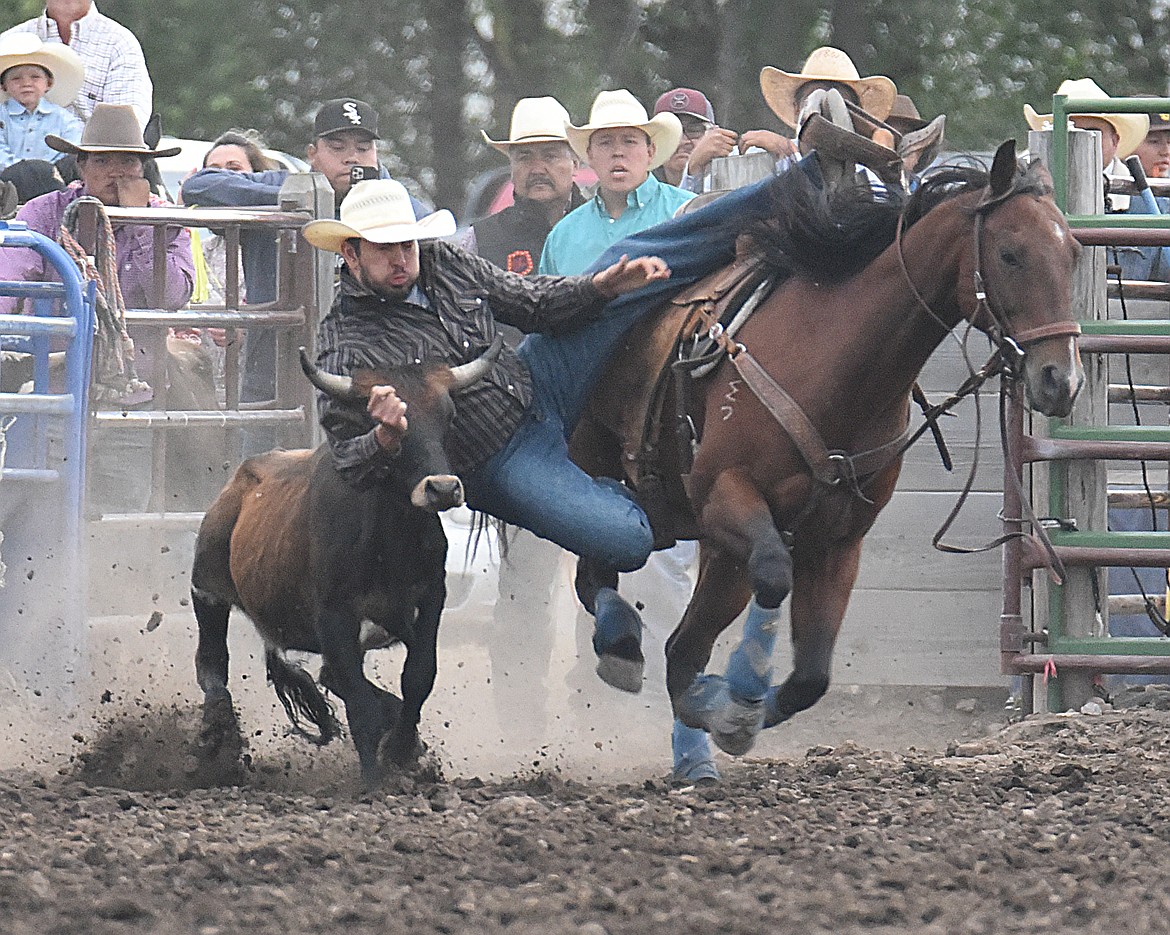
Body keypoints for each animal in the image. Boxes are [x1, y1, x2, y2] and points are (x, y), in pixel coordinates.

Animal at [570, 141, 1081, 781]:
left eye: (1075, 254)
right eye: (1010, 254)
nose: (1061, 380)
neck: (837, 362)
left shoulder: (838, 540)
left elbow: (811, 676)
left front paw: (738, 712)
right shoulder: (725, 497)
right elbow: (771, 572)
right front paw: (738, 703)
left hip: (705, 544)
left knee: (680, 644)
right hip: (619, 489)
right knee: (601, 577)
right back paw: (623, 648)